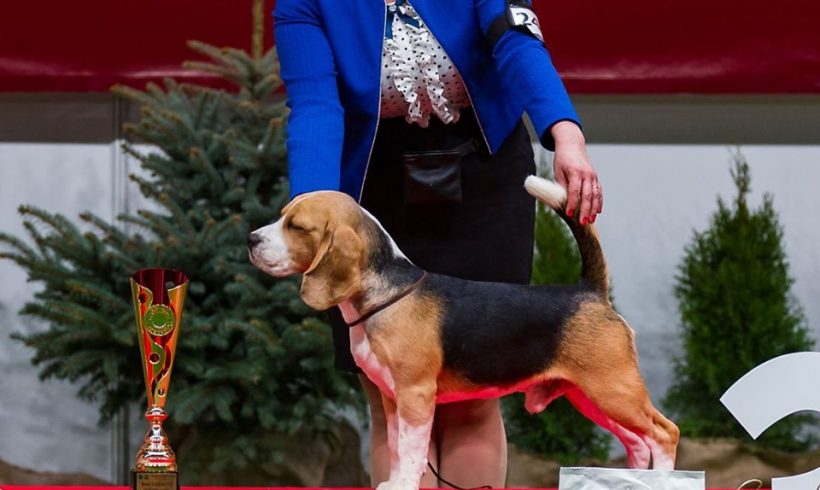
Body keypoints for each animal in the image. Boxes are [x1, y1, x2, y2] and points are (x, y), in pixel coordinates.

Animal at [248, 176, 680, 490]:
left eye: (296, 226)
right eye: (282, 216)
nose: (251, 239)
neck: (386, 293)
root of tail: (590, 291)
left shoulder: (416, 395)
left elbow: (411, 450)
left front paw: (403, 486)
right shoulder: (391, 398)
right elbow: (399, 449)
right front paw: (393, 482)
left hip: (614, 389)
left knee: (664, 433)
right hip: (590, 396)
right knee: (638, 441)